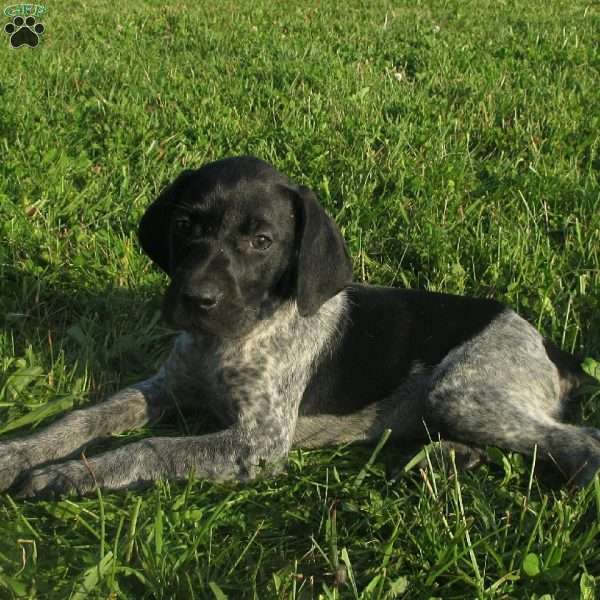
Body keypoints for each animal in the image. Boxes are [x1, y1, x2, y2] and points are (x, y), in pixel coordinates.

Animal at [0, 156, 596, 496]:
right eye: (186, 225)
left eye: (261, 241)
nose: (195, 299)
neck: (230, 341)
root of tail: (549, 345)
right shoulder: (166, 386)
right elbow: (83, 418)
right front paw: (20, 452)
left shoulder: (258, 441)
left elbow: (152, 449)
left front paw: (75, 474)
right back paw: (449, 456)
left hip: (461, 392)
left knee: (581, 439)